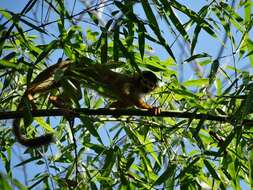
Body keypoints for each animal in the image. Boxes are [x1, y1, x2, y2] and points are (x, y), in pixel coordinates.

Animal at [12, 59, 159, 147]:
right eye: (145, 82)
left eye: (151, 85)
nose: (147, 88)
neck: (137, 86)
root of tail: (71, 60)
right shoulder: (128, 83)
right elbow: (127, 96)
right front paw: (151, 108)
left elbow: (124, 101)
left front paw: (114, 110)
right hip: (70, 71)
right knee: (57, 82)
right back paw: (31, 93)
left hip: (72, 75)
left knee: (76, 93)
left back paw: (56, 101)